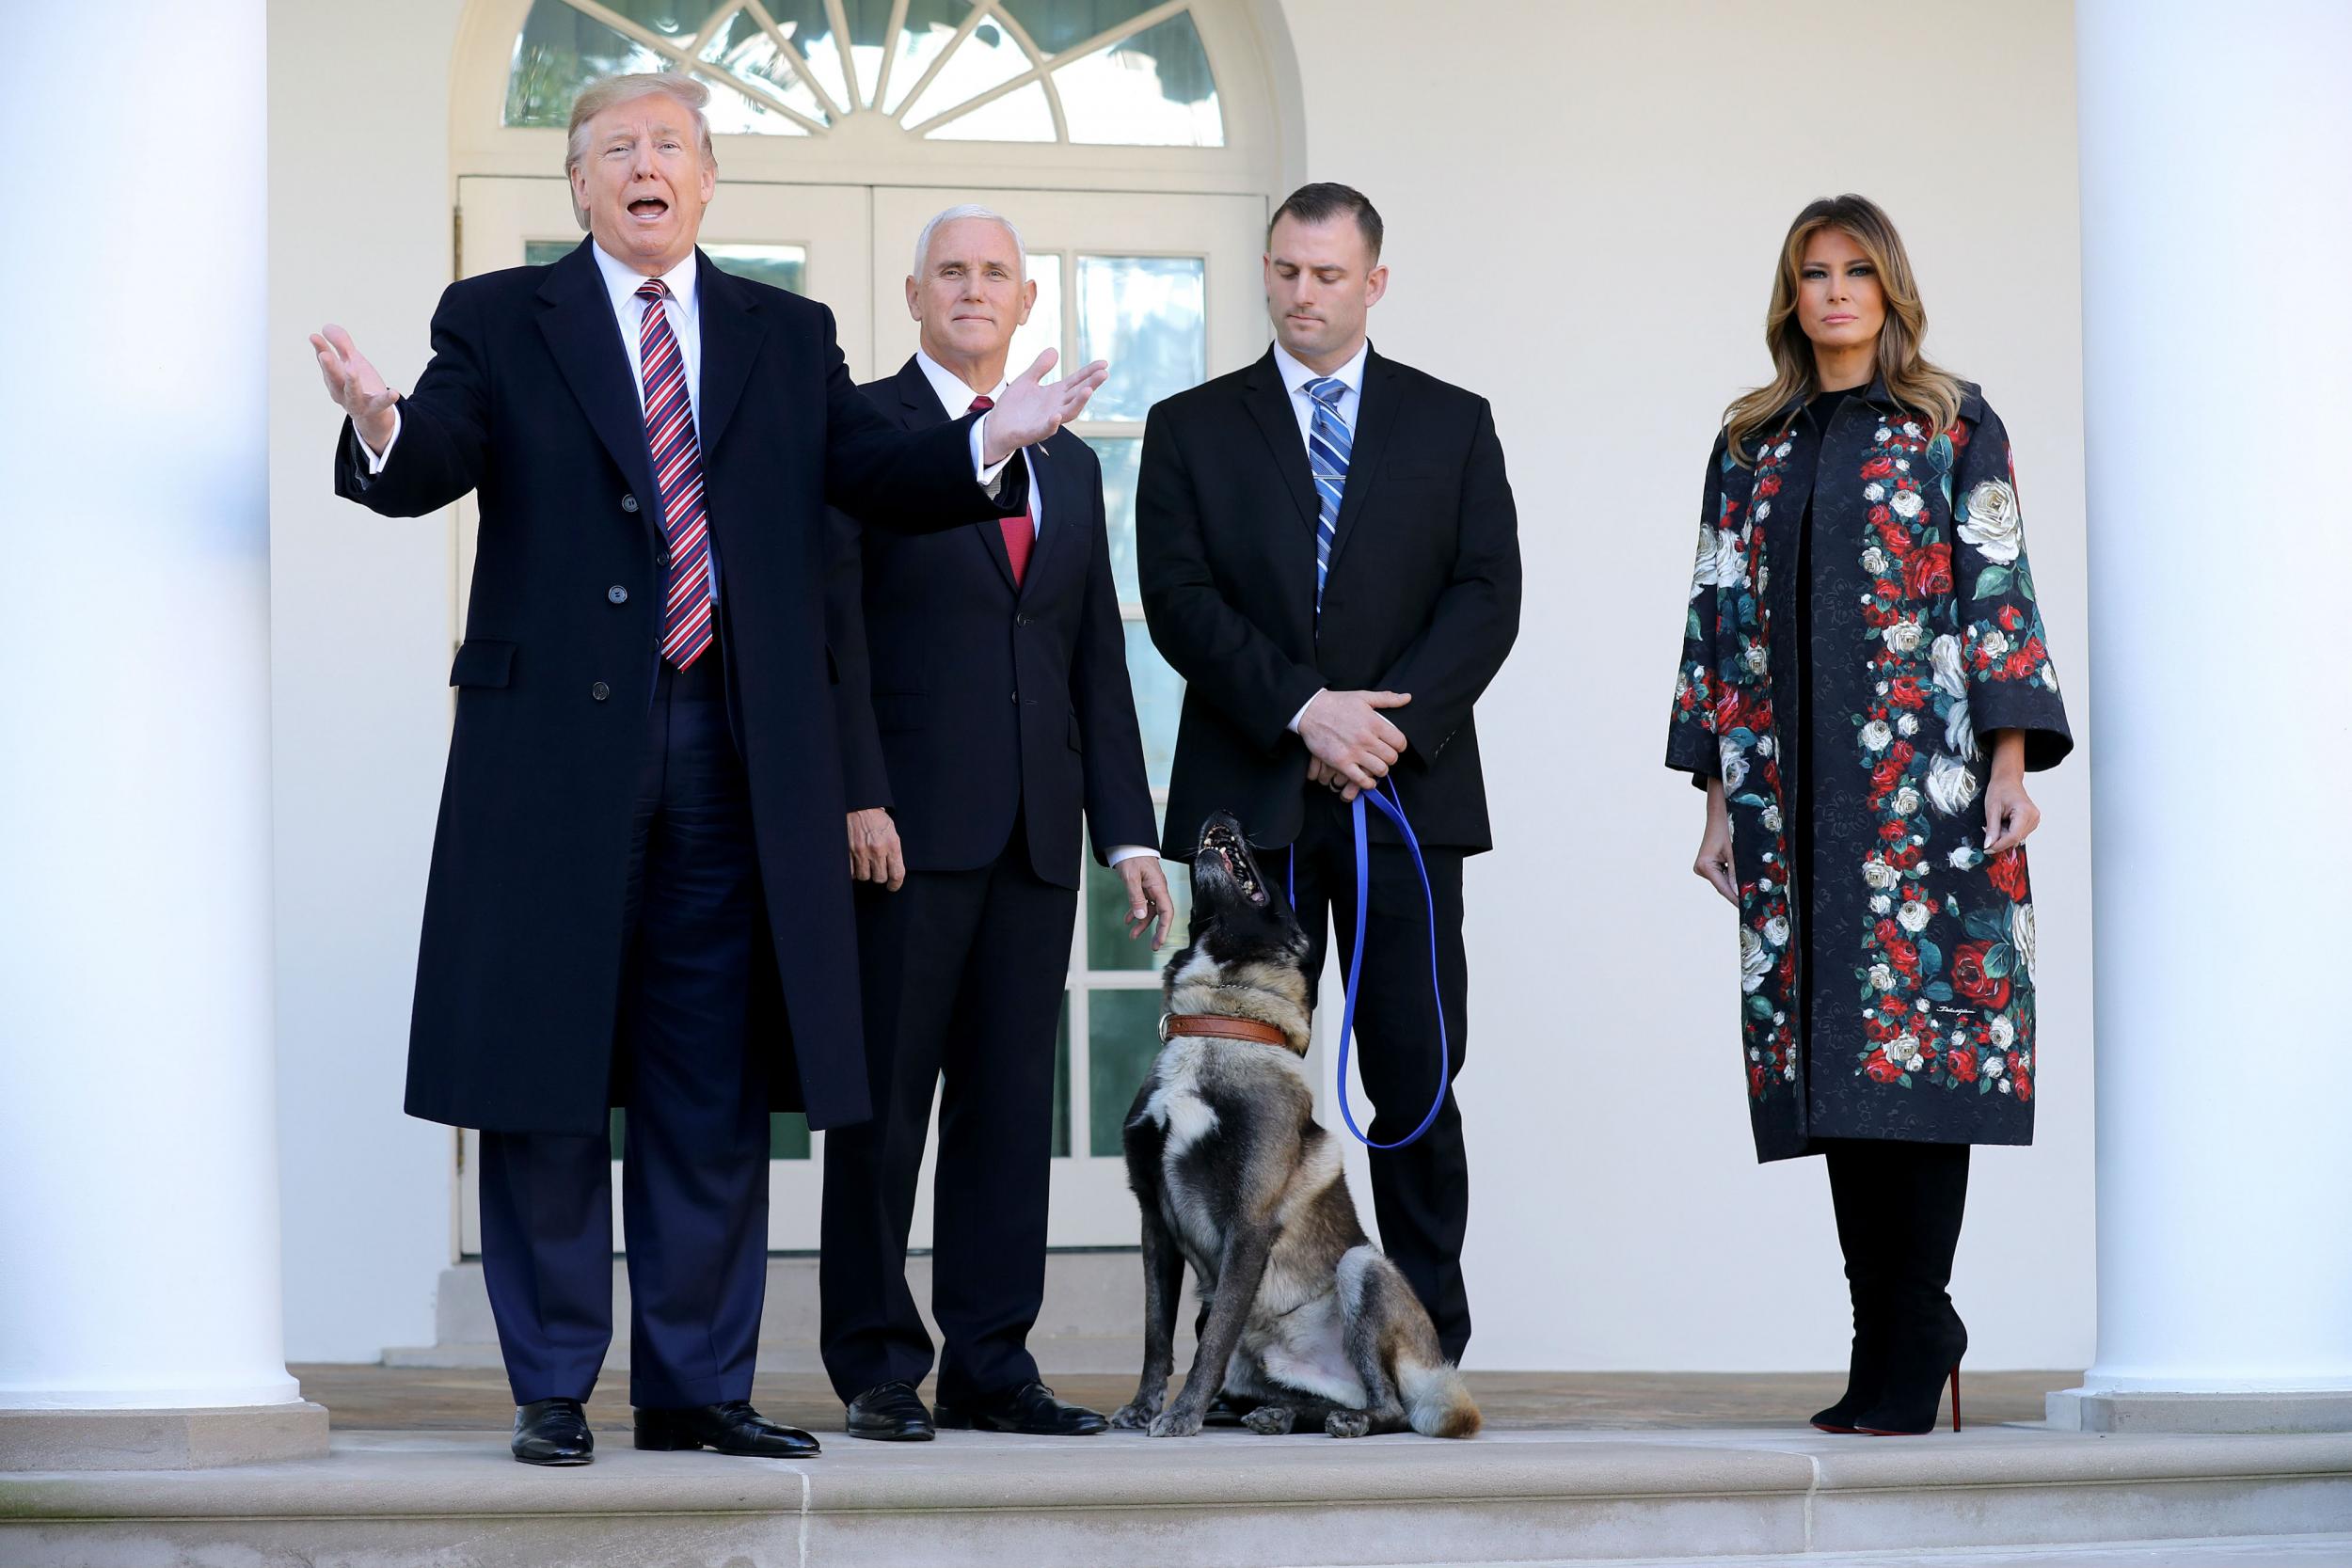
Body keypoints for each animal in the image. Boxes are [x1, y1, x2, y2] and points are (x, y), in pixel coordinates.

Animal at [1105, 817, 1477, 1438]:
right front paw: (1143, 1406)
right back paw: (1279, 1412)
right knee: (1299, 1395)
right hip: (1259, 1364)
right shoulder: (1153, 1219)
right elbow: (1157, 1333)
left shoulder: (1250, 1223)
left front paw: (1181, 1414)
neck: (1218, 1026)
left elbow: (1210, 1342)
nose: (1225, 815)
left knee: (1391, 1407)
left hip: (1362, 1268)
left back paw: (1347, 1420)